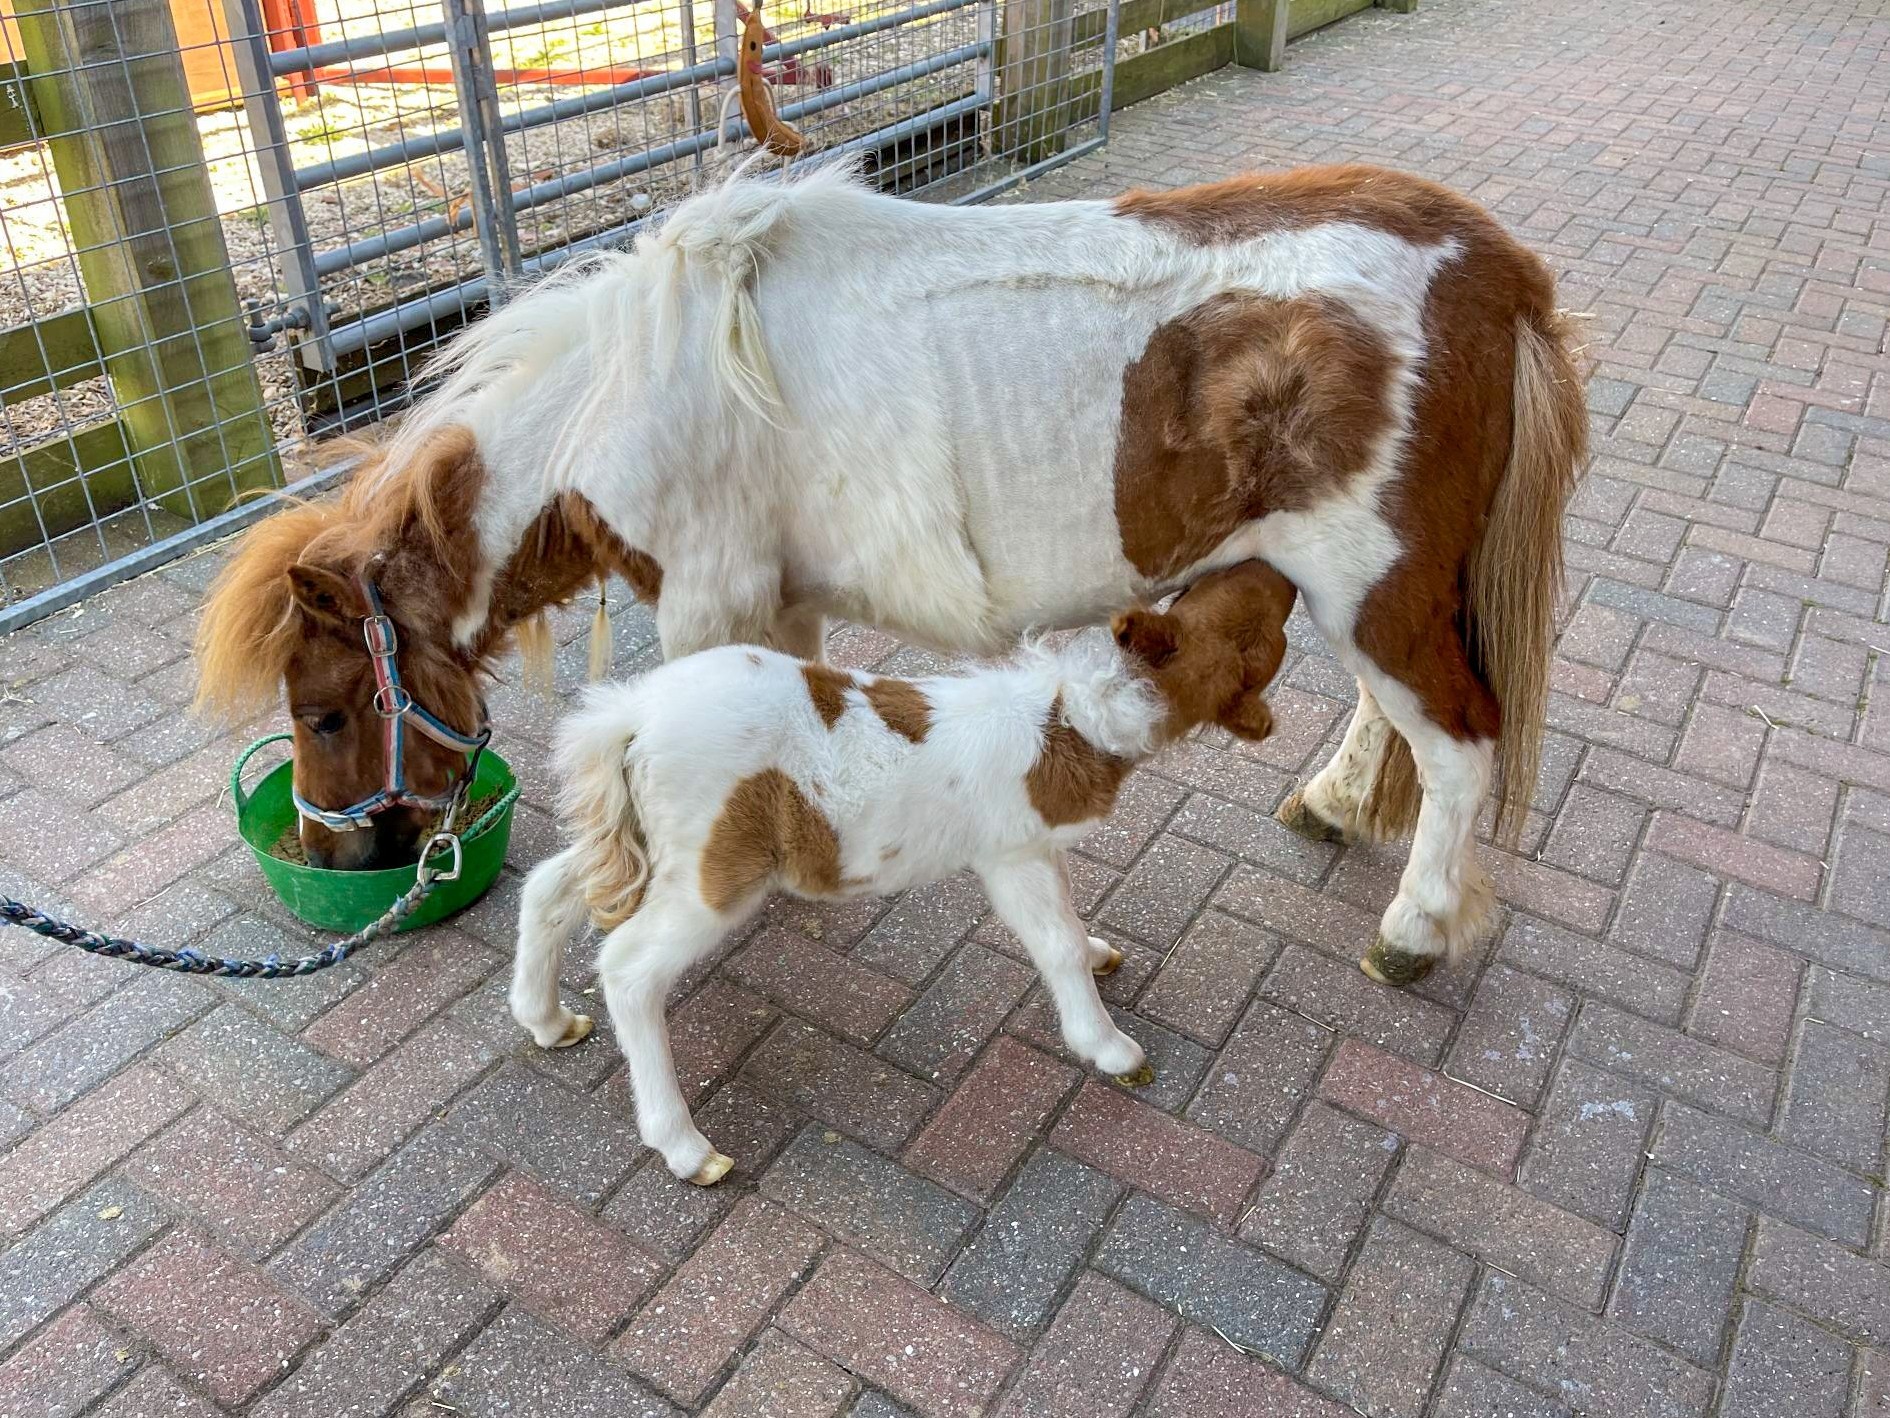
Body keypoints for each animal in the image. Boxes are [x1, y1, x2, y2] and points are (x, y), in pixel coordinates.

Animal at [195, 158, 1587, 984]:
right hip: (1369, 588)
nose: (335, 857)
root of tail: (1499, 267)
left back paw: (1414, 930)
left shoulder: (705, 599)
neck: (639, 390)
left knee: (1459, 743)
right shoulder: (783, 603)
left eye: (327, 711)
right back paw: (1337, 804)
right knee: (1392, 720)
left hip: (1376, 584)